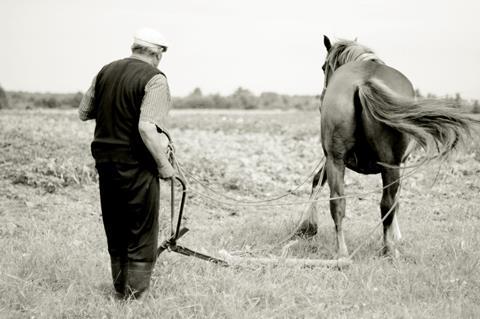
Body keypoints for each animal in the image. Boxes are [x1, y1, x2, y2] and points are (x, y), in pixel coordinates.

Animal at [296, 36, 480, 258]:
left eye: (324, 67)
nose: (320, 100)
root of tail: (364, 82)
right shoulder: (401, 163)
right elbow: (396, 200)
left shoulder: (335, 158)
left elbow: (317, 181)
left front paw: (307, 226)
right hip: (382, 163)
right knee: (385, 203)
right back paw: (388, 249)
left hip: (338, 160)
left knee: (340, 202)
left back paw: (344, 251)